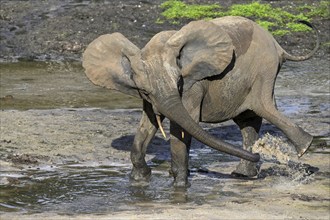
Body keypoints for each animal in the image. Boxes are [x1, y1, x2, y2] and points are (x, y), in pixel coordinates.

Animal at [82, 16, 320, 186]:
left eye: (179, 81)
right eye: (144, 91)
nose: (259, 155)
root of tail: (278, 46)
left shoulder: (193, 86)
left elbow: (181, 127)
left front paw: (179, 185)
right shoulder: (149, 99)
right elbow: (146, 126)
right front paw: (140, 180)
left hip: (264, 70)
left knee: (264, 107)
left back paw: (304, 148)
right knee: (248, 121)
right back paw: (244, 173)